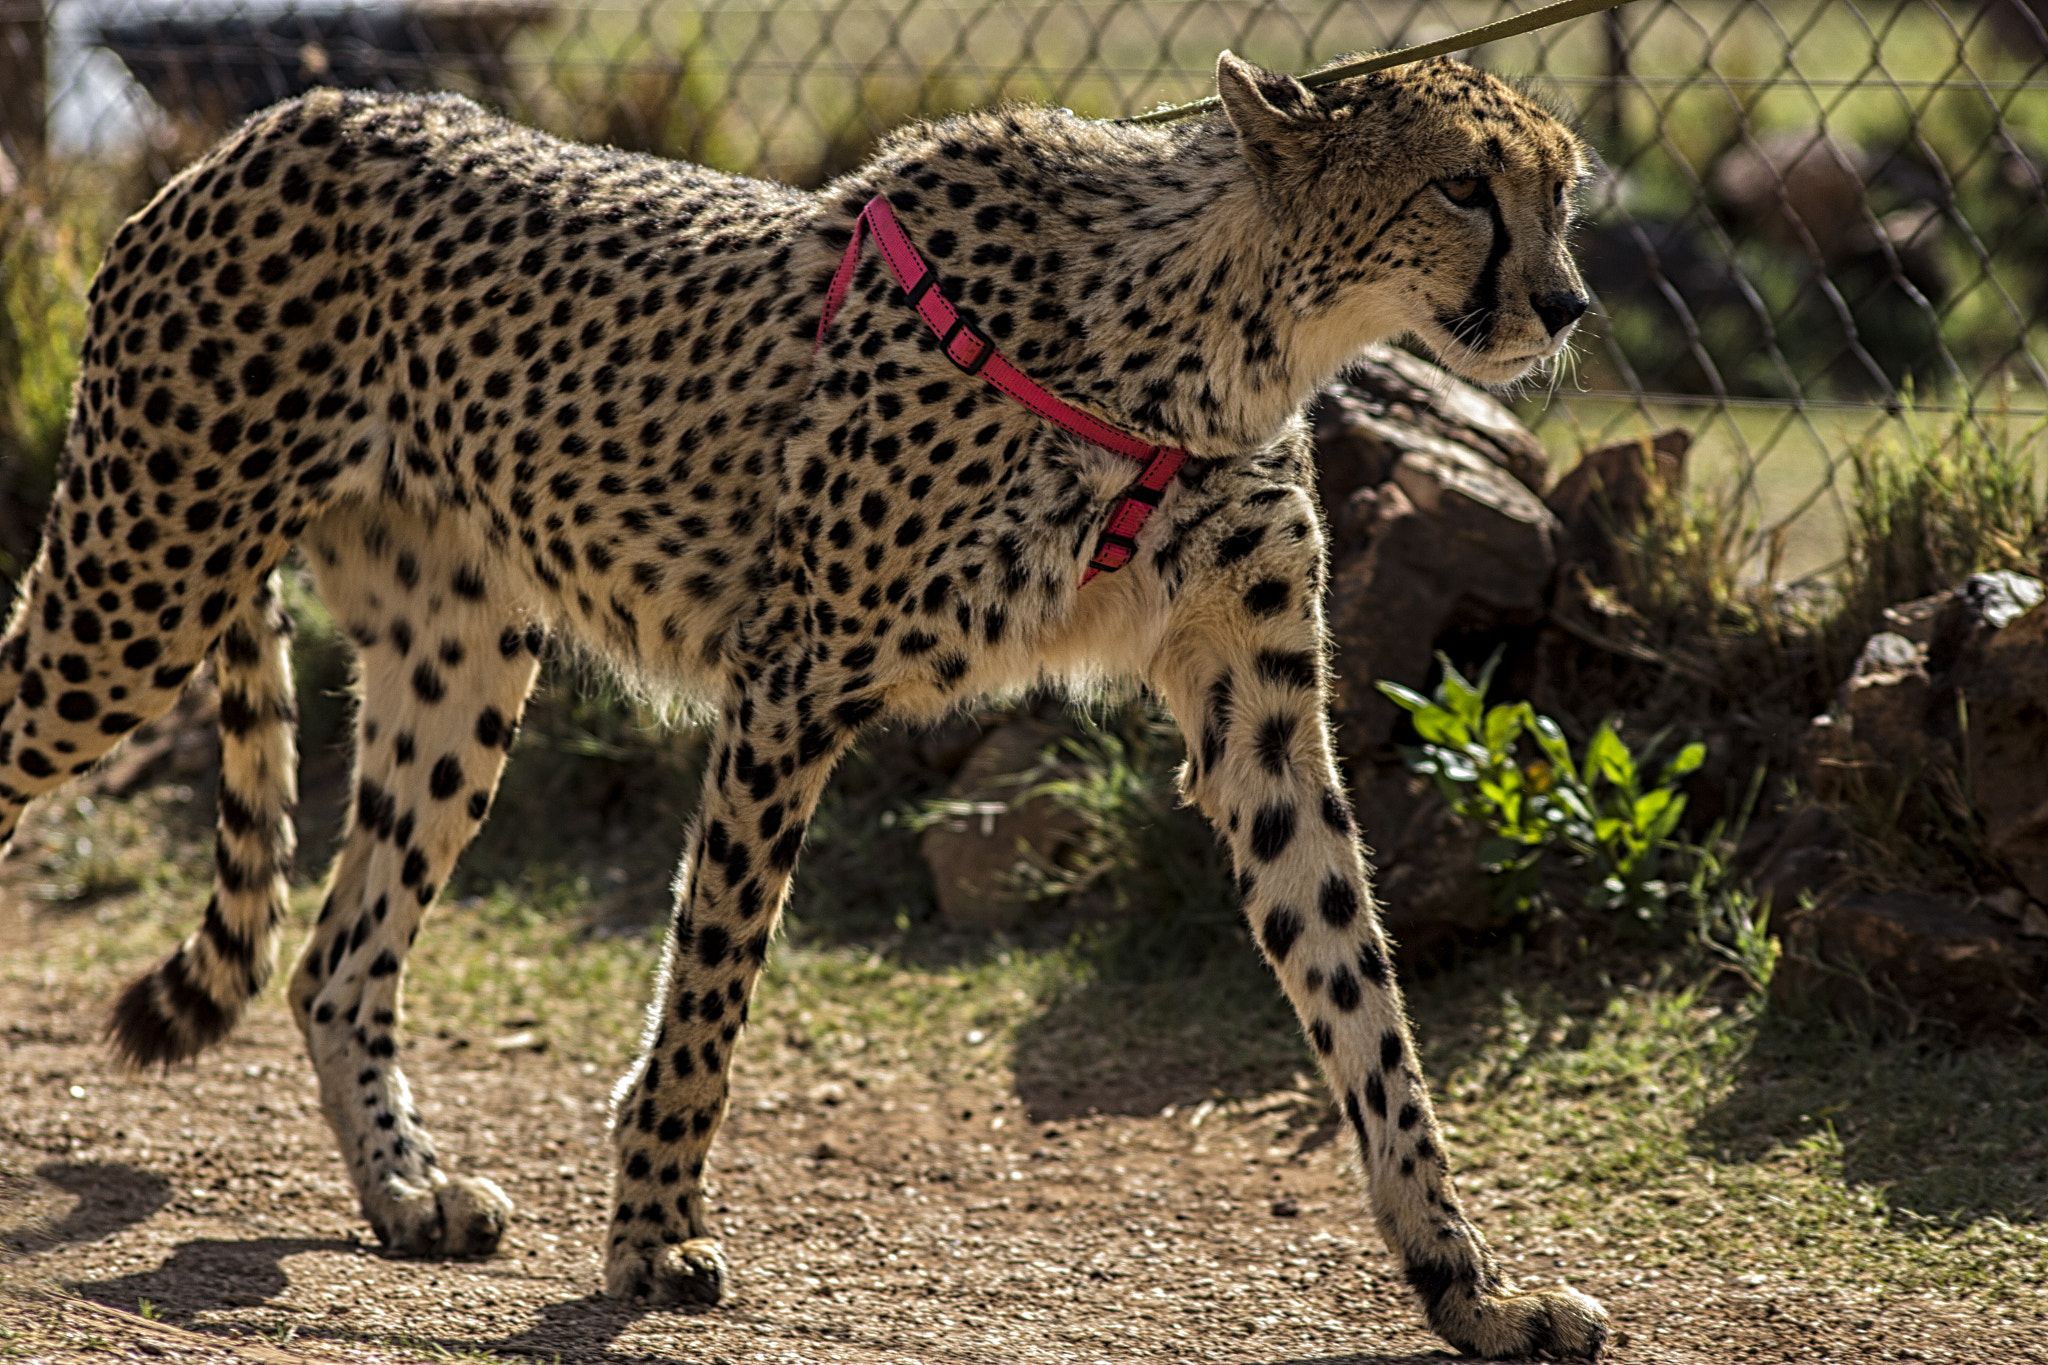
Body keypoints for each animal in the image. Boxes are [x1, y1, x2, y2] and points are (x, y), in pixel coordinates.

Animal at [0, 50, 1604, 1358]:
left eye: (1562, 193)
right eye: (1464, 185)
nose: (1568, 302)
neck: (1220, 328)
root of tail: (280, 118)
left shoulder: (1256, 714)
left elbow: (1361, 1003)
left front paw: (1470, 1289)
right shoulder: (792, 680)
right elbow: (712, 982)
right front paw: (654, 1235)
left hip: (457, 657)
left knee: (336, 955)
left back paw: (404, 1191)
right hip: (138, 585)